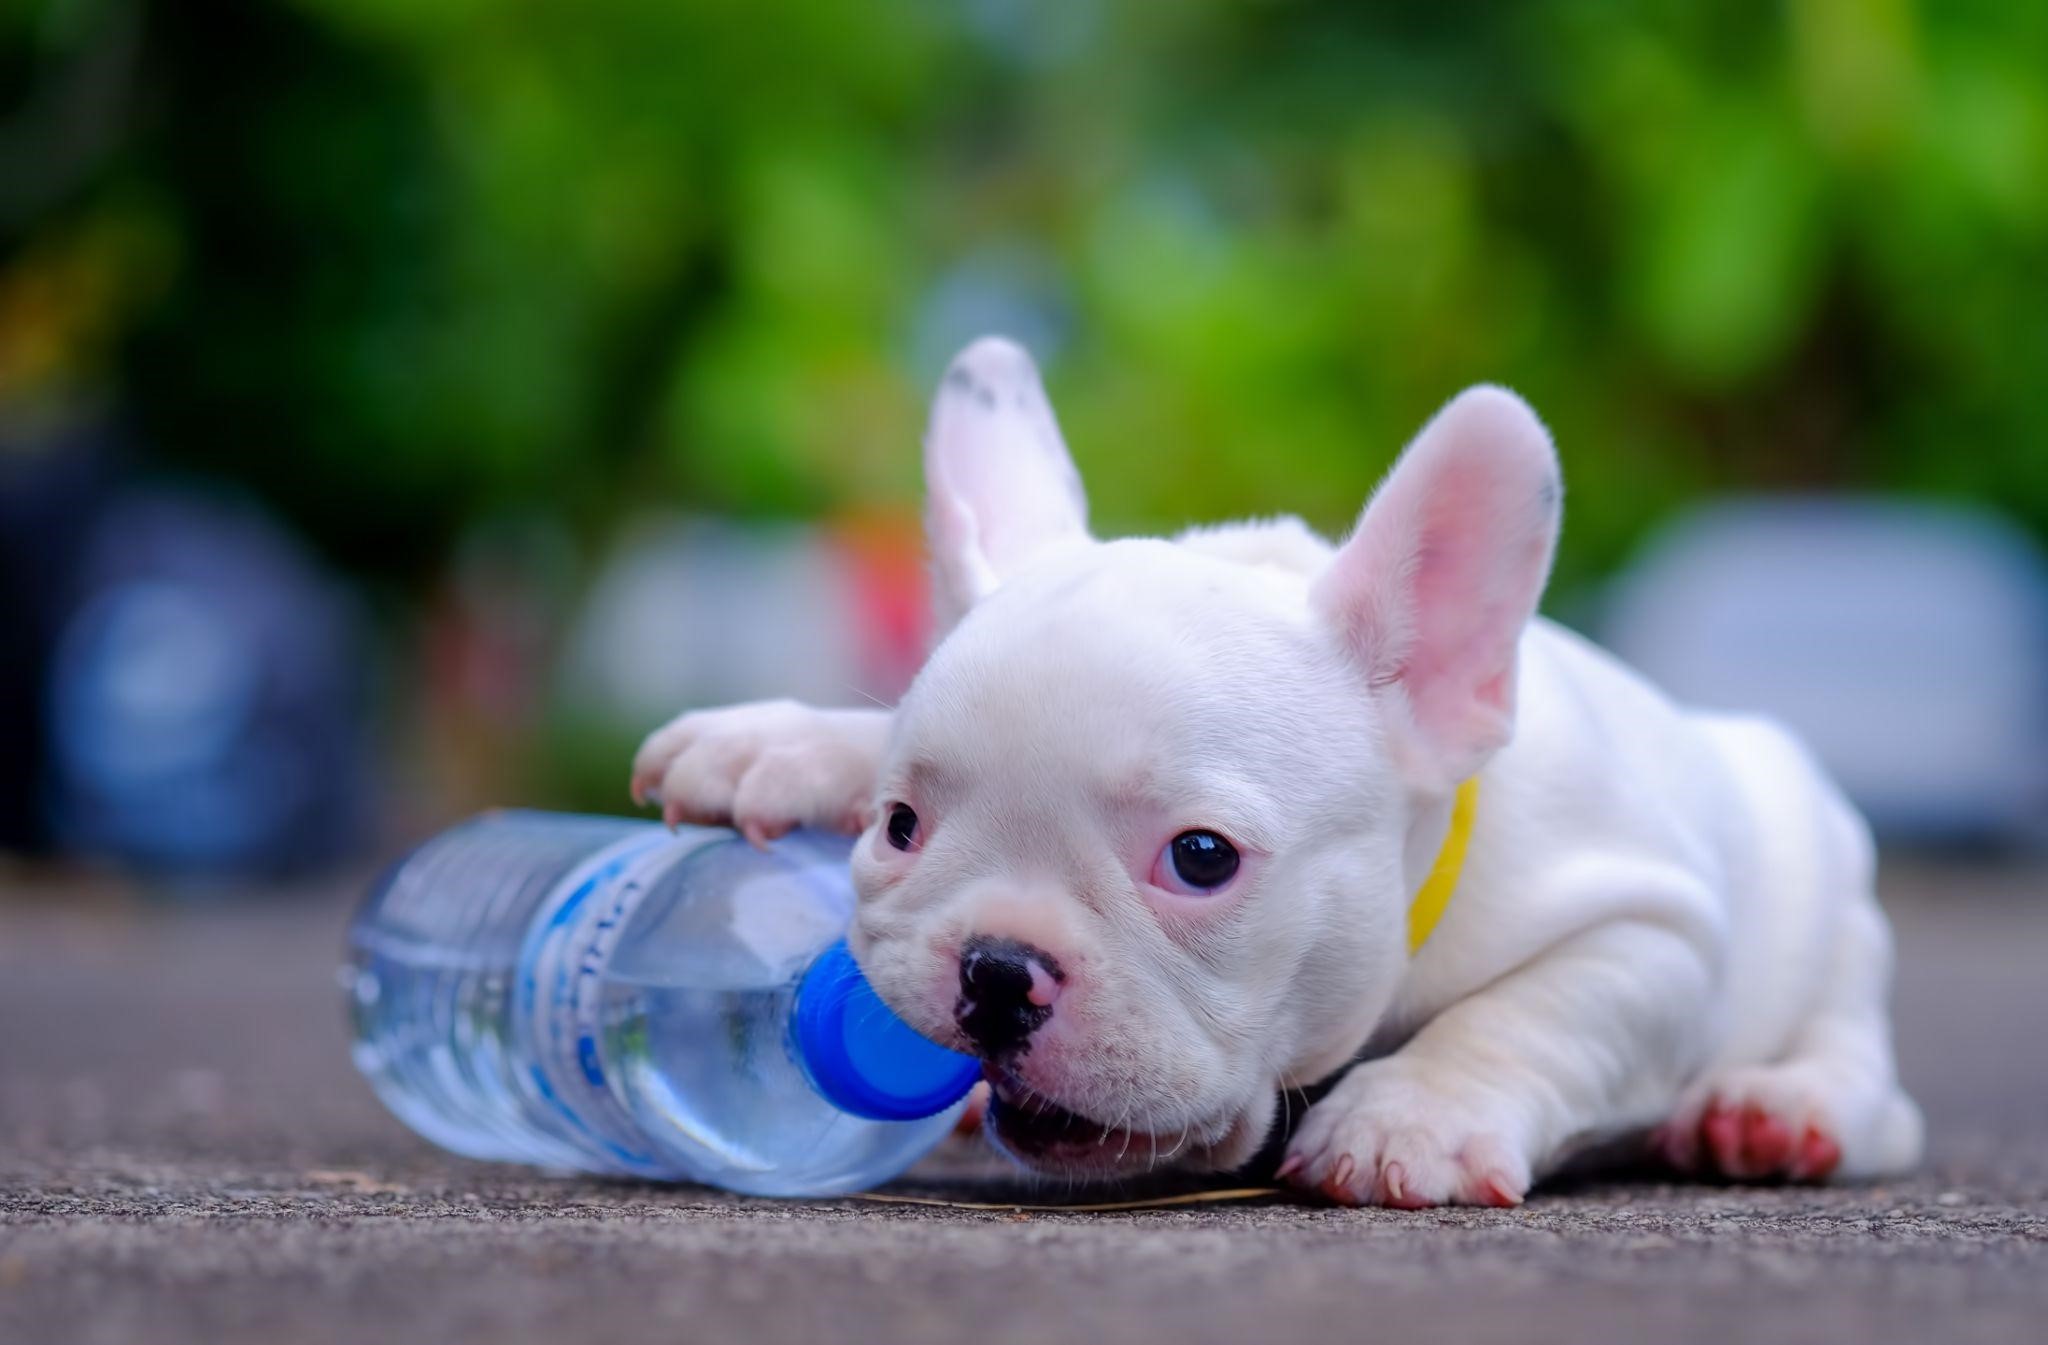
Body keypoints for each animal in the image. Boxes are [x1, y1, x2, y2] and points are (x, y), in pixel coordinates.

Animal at [634, 335, 1916, 1203]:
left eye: (1200, 858)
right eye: (899, 824)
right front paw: (775, 743)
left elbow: (1525, 1014)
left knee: (1865, 1070)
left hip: (1836, 911)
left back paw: (1774, 1110)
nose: (995, 968)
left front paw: (1412, 1115)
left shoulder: (1649, 936)